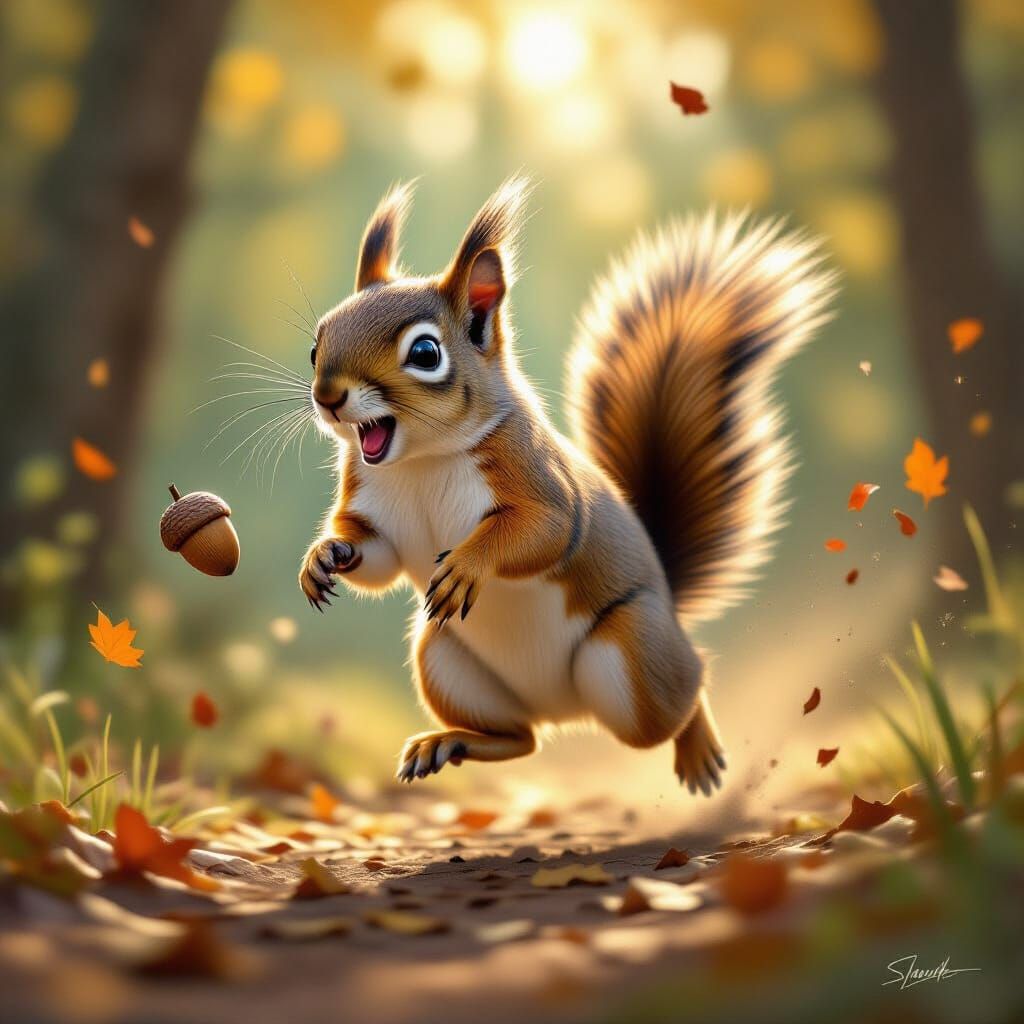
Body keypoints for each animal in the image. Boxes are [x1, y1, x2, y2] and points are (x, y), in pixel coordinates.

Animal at [299, 178, 833, 794]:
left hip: (632, 655)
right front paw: (324, 556)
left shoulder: (538, 479)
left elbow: (546, 531)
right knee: (522, 740)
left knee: (683, 692)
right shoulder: (375, 505)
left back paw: (697, 745)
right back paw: (447, 742)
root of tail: (562, 710)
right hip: (443, 657)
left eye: (426, 353)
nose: (328, 397)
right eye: (316, 344)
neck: (421, 462)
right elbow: (376, 557)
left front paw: (468, 564)